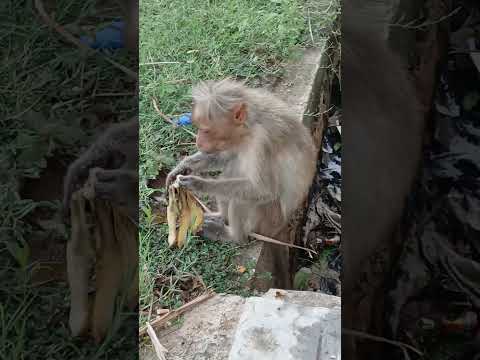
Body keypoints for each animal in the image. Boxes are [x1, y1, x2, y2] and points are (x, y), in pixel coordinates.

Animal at [166, 78, 318, 286]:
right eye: (199, 128)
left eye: (205, 130)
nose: (198, 141)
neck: (250, 126)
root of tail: (281, 226)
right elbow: (226, 156)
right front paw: (183, 167)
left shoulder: (262, 141)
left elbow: (264, 190)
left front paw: (198, 183)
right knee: (232, 169)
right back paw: (221, 217)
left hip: (268, 218)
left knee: (242, 198)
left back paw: (234, 237)